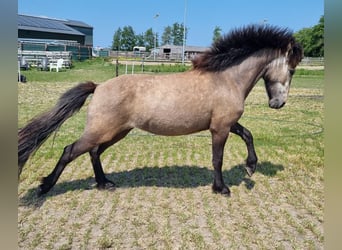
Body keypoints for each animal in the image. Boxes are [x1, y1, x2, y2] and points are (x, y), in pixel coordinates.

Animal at [18, 25, 302, 197]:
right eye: (291, 69)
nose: (278, 104)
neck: (225, 79)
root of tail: (98, 87)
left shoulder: (226, 123)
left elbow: (248, 135)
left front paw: (250, 167)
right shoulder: (220, 129)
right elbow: (218, 159)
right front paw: (221, 188)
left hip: (116, 132)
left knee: (94, 152)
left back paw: (104, 183)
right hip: (102, 131)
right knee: (70, 151)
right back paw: (45, 186)